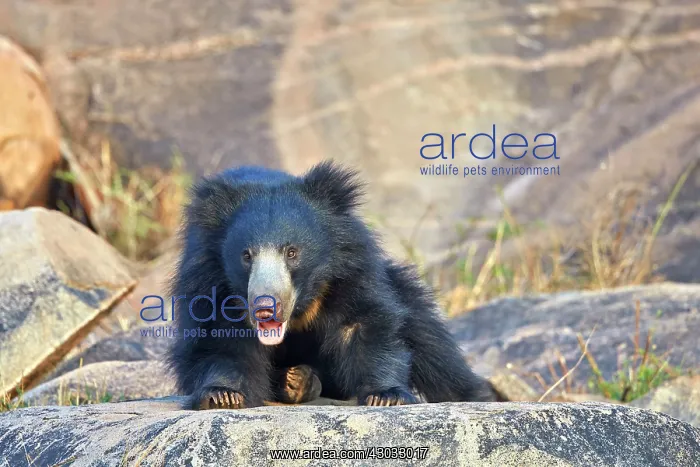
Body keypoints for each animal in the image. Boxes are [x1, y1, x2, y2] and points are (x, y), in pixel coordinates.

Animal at [167, 161, 496, 409]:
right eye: (246, 255)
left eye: (292, 252)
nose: (264, 308)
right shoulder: (208, 277)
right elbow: (220, 338)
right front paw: (222, 395)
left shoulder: (349, 266)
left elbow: (365, 322)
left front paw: (386, 396)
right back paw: (297, 382)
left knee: (427, 332)